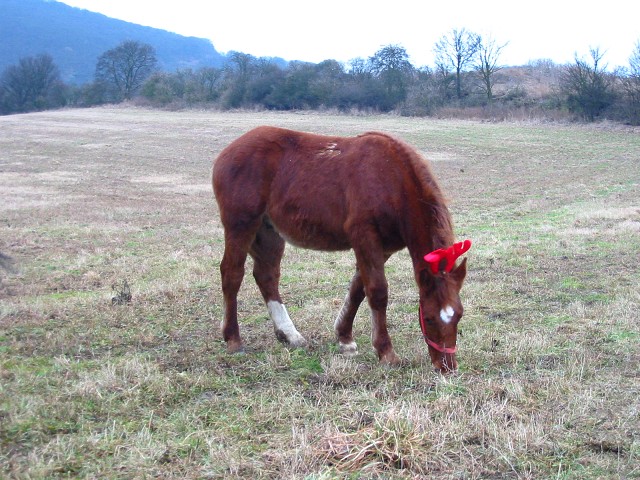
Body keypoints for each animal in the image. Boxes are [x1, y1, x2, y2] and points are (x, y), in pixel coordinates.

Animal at [212, 126, 468, 372]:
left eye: (459, 315)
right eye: (429, 318)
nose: (447, 367)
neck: (391, 179)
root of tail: (226, 153)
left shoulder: (383, 248)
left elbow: (358, 290)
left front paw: (345, 338)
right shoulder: (364, 236)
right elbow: (377, 292)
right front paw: (386, 352)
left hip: (269, 232)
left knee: (266, 275)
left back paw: (290, 335)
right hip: (241, 225)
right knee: (232, 274)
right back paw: (233, 339)